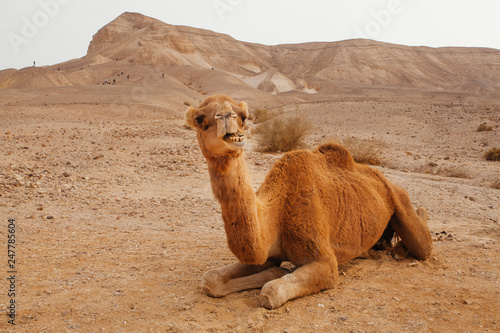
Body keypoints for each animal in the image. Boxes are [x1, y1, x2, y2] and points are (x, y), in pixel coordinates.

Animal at [185, 94, 434, 308]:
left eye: (243, 116)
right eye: (200, 119)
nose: (226, 116)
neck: (278, 211)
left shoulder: (325, 262)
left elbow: (271, 292)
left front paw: (277, 275)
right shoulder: (268, 251)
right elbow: (210, 280)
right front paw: (276, 271)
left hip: (399, 198)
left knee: (423, 243)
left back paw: (404, 245)